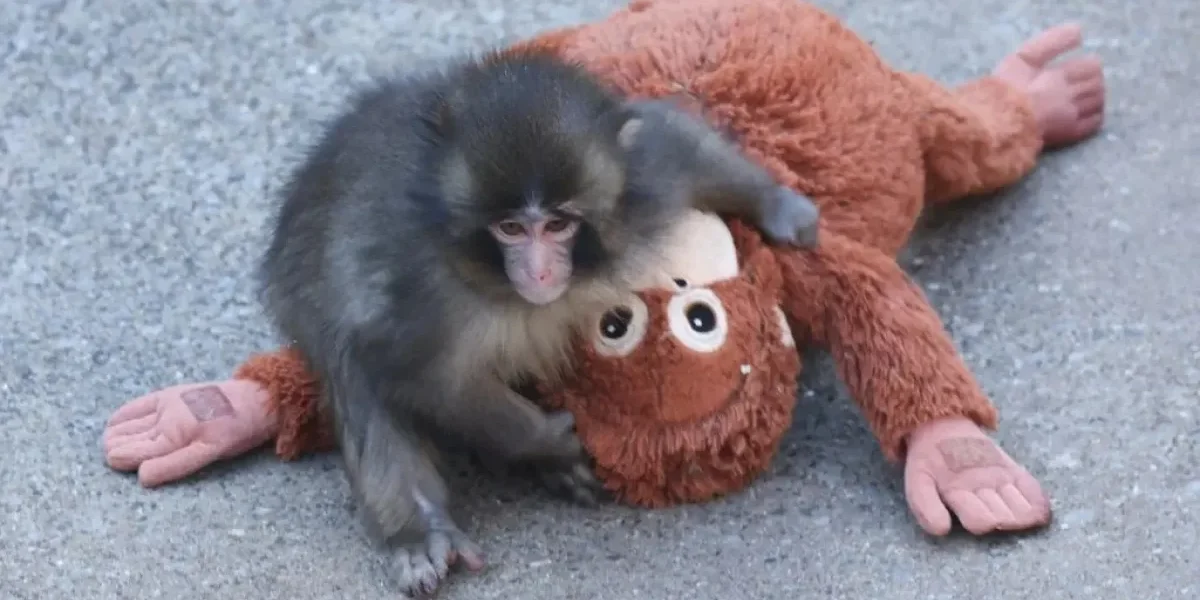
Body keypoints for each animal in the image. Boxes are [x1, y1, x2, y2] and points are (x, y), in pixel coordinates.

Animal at [257, 49, 820, 597]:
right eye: (510, 228)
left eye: (557, 224)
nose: (540, 271)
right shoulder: (417, 292)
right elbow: (422, 377)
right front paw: (548, 440)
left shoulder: (642, 184)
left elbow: (674, 141)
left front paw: (779, 206)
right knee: (354, 370)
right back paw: (421, 530)